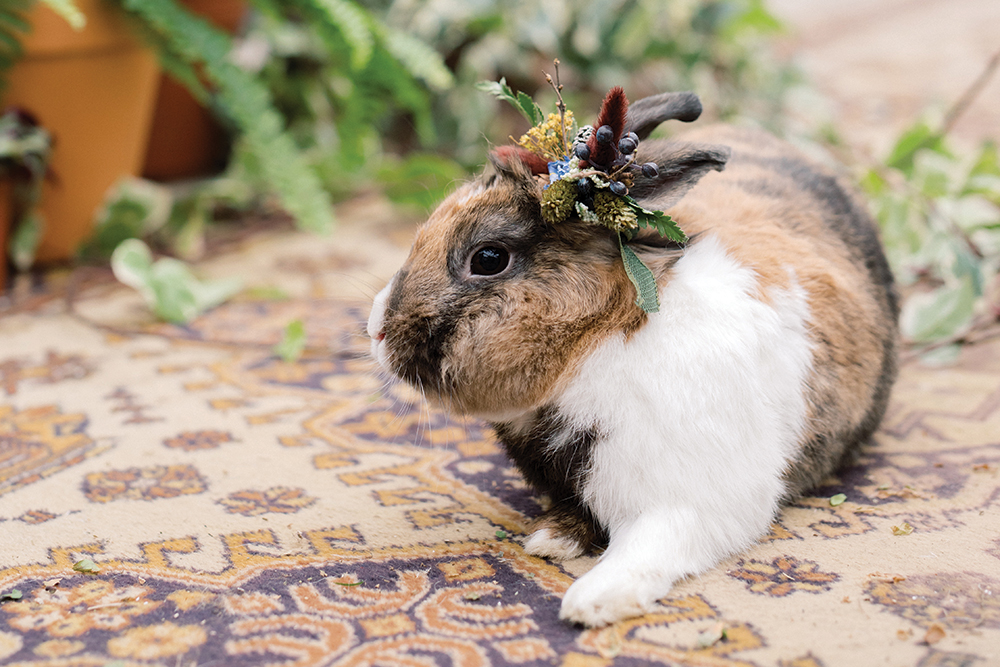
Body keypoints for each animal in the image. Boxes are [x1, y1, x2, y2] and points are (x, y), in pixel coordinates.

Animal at [366, 88, 900, 628]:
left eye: (489, 258)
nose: (376, 329)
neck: (594, 343)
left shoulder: (691, 503)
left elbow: (645, 548)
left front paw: (591, 601)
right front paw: (552, 540)